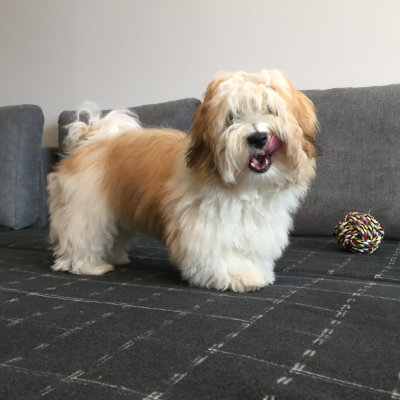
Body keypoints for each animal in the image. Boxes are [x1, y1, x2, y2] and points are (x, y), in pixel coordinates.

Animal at [48, 69, 320, 292]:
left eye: (270, 110)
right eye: (231, 117)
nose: (258, 137)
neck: (245, 186)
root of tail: (92, 140)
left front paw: (255, 271)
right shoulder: (204, 226)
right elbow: (215, 253)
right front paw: (236, 276)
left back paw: (114, 257)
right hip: (86, 208)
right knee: (82, 236)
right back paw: (88, 265)